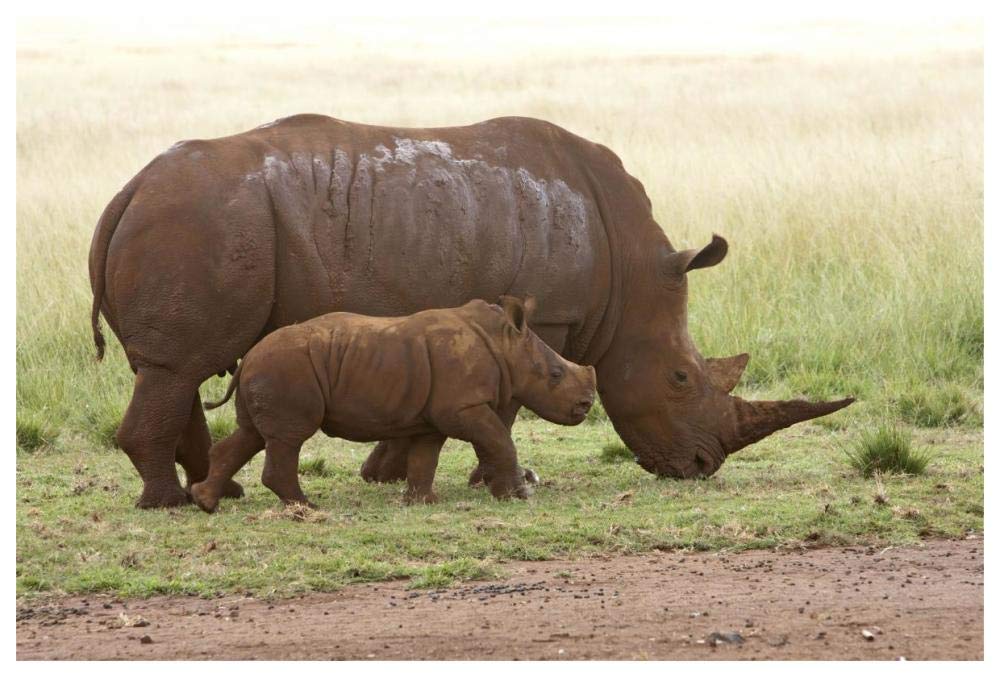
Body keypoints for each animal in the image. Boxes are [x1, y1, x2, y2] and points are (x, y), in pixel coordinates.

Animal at [190, 297, 596, 512]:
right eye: (556, 374)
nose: (586, 404)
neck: (505, 345)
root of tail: (248, 358)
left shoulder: (436, 415)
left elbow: (425, 457)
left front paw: (423, 501)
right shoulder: (464, 407)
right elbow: (500, 440)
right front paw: (519, 495)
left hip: (270, 368)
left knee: (251, 434)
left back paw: (205, 502)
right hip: (285, 367)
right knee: (287, 438)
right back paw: (306, 507)